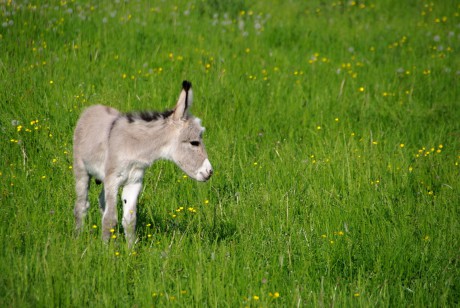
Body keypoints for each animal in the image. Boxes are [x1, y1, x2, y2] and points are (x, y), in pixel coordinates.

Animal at [73, 80, 213, 245]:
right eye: (194, 142)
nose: (210, 172)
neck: (135, 148)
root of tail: (92, 108)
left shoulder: (134, 181)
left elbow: (129, 220)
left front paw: (130, 249)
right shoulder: (113, 180)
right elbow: (110, 219)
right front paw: (106, 249)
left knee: (102, 203)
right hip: (81, 169)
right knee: (81, 205)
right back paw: (77, 238)